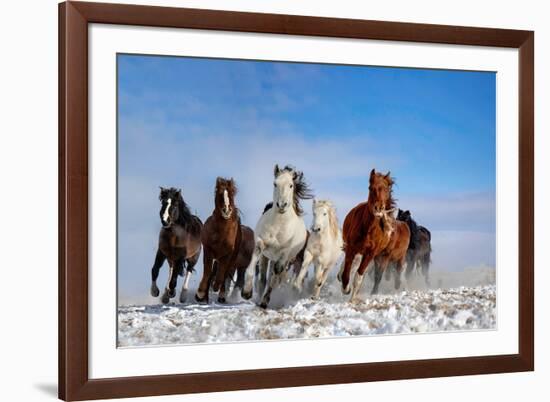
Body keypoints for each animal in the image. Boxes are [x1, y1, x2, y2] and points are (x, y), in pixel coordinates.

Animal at [243, 163, 314, 308]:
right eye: (275, 183)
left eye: (291, 185)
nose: (282, 205)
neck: (279, 226)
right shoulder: (261, 244)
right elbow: (253, 268)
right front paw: (246, 292)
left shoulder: (283, 255)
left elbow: (276, 276)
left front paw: (265, 300)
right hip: (267, 257)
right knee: (263, 278)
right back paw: (258, 297)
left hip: (284, 259)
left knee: (275, 275)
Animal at [336, 168, 410, 300]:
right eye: (371, 188)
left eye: (386, 189)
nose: (378, 208)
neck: (369, 230)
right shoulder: (352, 248)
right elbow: (346, 273)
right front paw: (346, 289)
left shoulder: (371, 254)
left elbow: (359, 276)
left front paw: (353, 297)